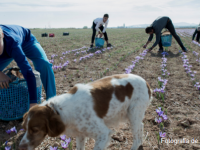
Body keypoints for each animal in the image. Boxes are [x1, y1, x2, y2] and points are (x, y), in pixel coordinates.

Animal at [19, 74, 152, 150]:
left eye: (35, 130)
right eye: (24, 128)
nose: (20, 147)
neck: (60, 110)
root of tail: (146, 82)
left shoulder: (103, 134)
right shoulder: (80, 135)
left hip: (133, 113)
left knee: (137, 134)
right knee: (141, 126)